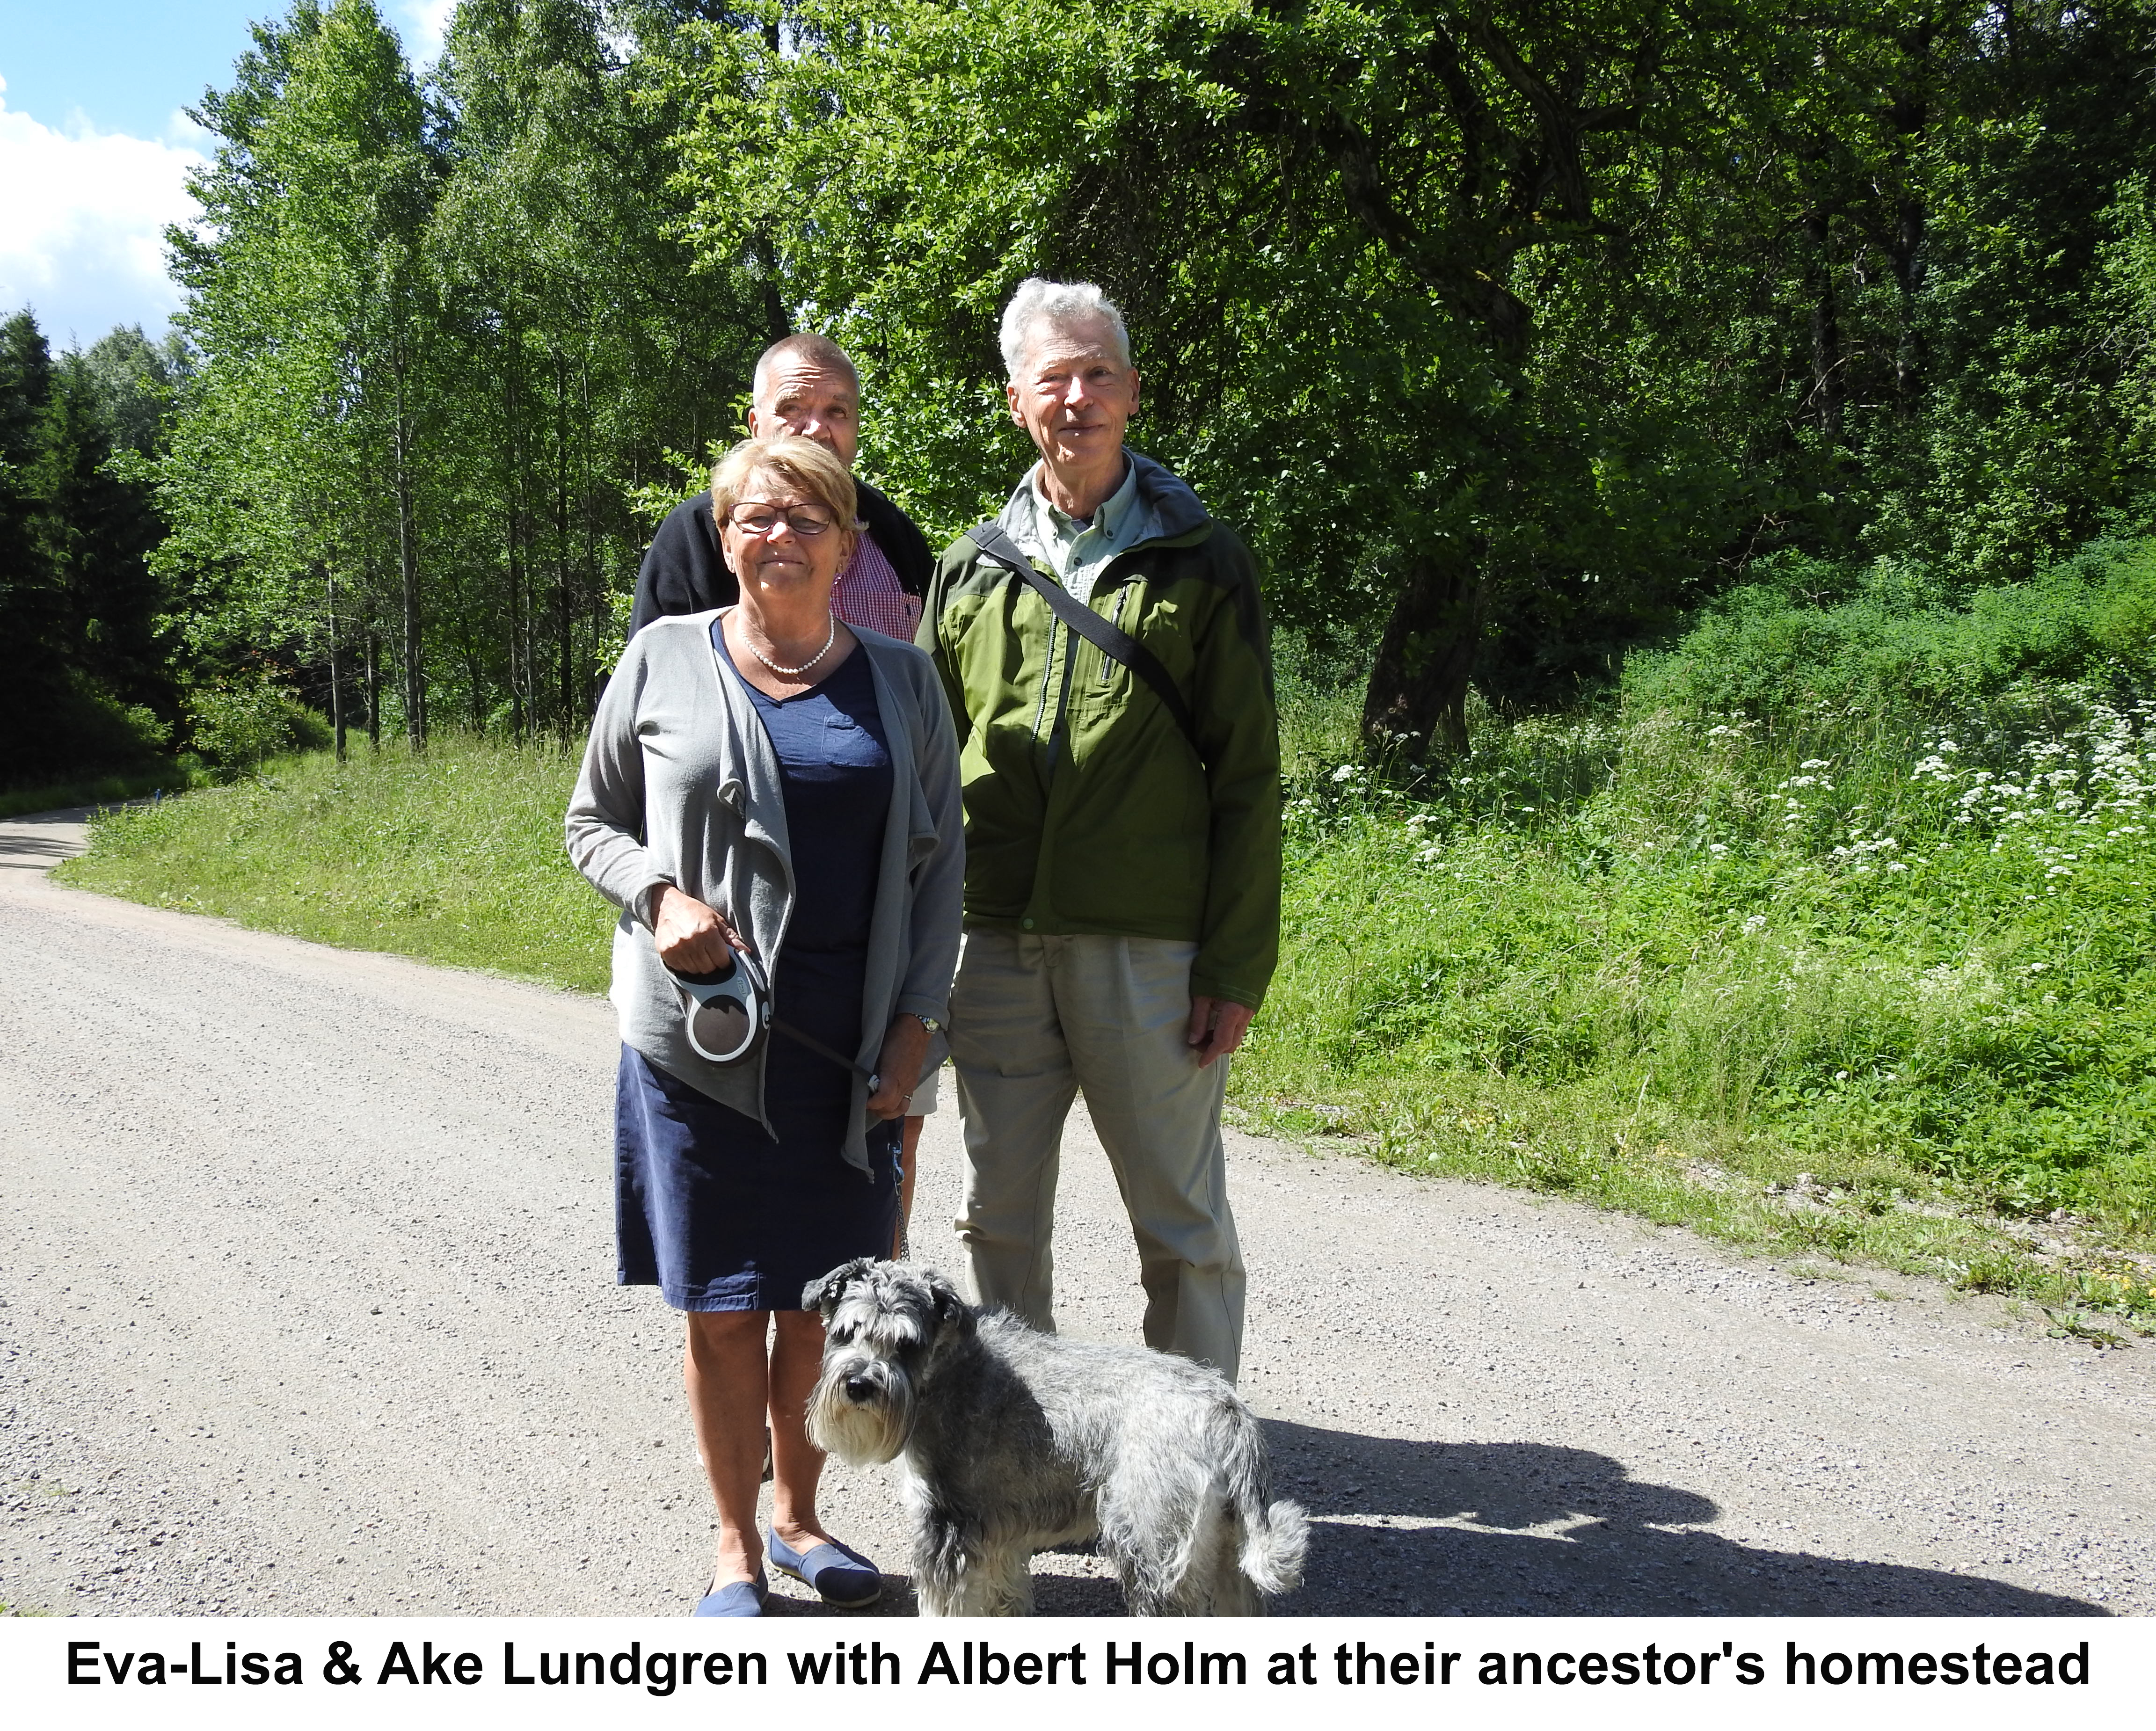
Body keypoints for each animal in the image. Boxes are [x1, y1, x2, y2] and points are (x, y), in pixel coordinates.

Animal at [810, 1258, 1311, 1612]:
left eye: (908, 1344)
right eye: (847, 1331)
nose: (860, 1385)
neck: (948, 1367)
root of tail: (1229, 1412)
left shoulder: (945, 1529)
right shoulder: (996, 1536)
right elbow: (1001, 1600)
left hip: (1149, 1550)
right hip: (1227, 1557)